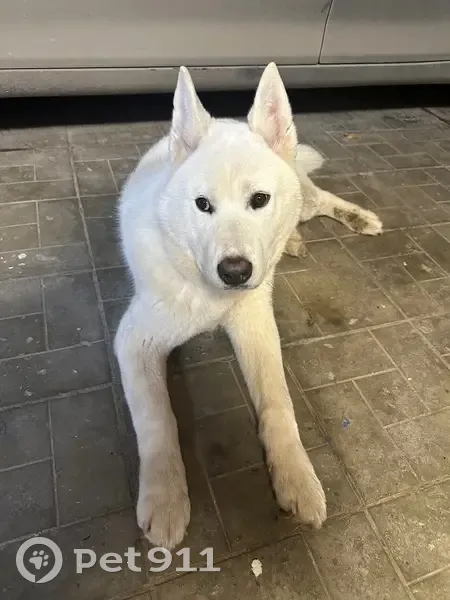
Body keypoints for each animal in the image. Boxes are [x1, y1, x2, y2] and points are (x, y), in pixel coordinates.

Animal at [114, 63, 383, 549]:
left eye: (258, 200)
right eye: (203, 205)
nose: (236, 272)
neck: (211, 298)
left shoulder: (257, 327)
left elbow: (279, 405)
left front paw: (296, 476)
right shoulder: (135, 340)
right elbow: (158, 420)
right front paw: (165, 496)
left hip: (304, 200)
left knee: (320, 199)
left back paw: (358, 218)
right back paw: (296, 240)